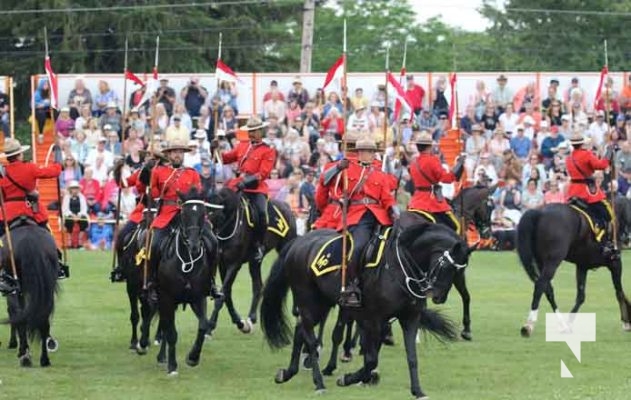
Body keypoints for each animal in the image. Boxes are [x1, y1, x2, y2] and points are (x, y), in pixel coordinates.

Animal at [0, 223, 59, 368]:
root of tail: (30, 242)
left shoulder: (13, 291)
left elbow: (14, 314)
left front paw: (14, 344)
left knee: (20, 316)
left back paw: (25, 355)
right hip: (47, 288)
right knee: (43, 319)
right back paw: (44, 359)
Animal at [152, 188, 220, 376]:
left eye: (203, 213)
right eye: (184, 213)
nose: (195, 245)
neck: (186, 260)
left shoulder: (198, 298)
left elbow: (203, 325)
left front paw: (193, 357)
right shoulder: (167, 298)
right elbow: (171, 332)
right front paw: (172, 366)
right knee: (165, 325)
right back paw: (163, 357)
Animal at [206, 188, 298, 334]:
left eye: (213, 213)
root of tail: (287, 207)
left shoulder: (234, 265)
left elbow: (223, 295)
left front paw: (210, 326)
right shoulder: (222, 264)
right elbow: (227, 294)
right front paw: (239, 322)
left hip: (285, 247)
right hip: (254, 261)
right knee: (258, 285)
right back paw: (251, 317)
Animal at [262, 223, 474, 398]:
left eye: (460, 271)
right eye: (447, 266)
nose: (438, 296)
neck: (400, 266)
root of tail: (299, 242)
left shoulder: (408, 318)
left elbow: (411, 357)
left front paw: (417, 391)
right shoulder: (374, 319)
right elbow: (371, 359)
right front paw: (349, 378)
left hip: (322, 304)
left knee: (300, 330)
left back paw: (288, 373)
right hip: (310, 303)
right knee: (310, 339)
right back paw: (319, 382)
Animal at [520, 203, 631, 338]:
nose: (627, 238)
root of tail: (539, 212)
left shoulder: (582, 266)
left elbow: (581, 296)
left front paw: (569, 323)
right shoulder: (615, 263)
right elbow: (619, 292)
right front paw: (626, 321)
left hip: (542, 262)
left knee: (548, 289)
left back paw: (562, 324)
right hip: (553, 261)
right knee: (540, 285)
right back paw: (529, 325)